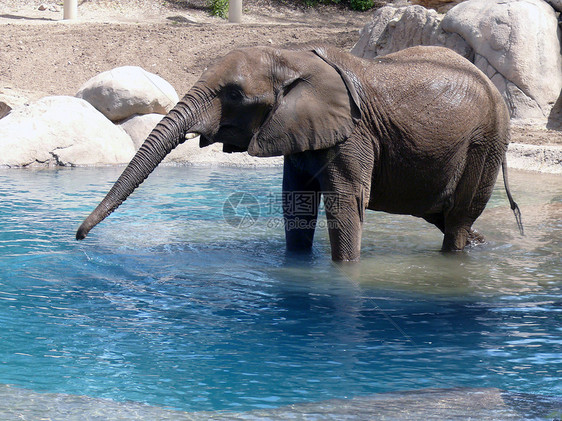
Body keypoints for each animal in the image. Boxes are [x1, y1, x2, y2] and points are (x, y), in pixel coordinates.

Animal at [75, 45, 520, 260]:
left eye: (234, 95)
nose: (79, 237)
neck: (292, 59)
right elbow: (297, 203)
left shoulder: (352, 135)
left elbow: (345, 203)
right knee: (444, 218)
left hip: (485, 143)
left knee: (456, 220)